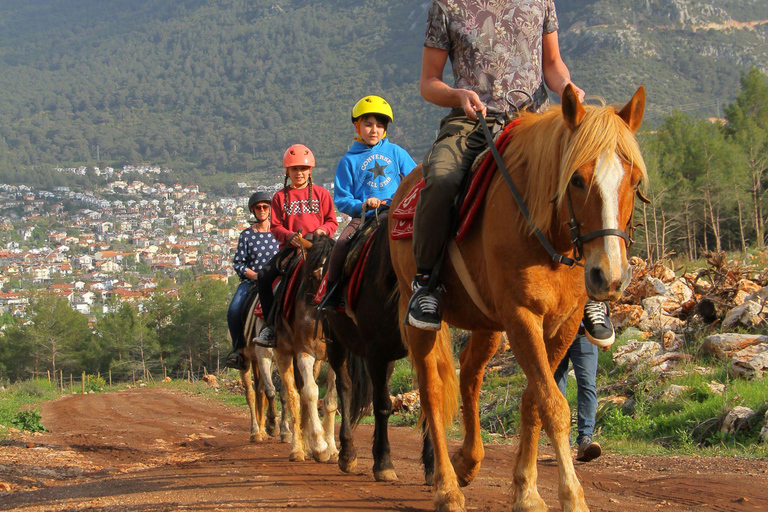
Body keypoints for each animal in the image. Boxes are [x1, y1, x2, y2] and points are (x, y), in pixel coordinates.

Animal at [272, 236, 340, 464]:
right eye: (313, 275)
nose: (323, 305)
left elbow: (330, 399)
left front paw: (333, 448)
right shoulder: (304, 352)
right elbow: (310, 393)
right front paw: (320, 446)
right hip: (282, 353)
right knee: (293, 394)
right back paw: (297, 449)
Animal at [322, 212, 436, 484]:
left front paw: (432, 467)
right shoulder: (376, 352)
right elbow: (382, 405)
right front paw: (383, 463)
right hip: (336, 342)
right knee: (345, 387)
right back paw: (347, 454)